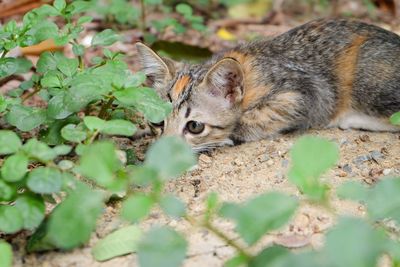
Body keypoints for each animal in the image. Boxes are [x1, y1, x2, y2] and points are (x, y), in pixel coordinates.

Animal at [135, 18, 400, 152]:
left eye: (195, 127)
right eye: (157, 122)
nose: (162, 153)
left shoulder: (309, 93)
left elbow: (256, 116)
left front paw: (228, 135)